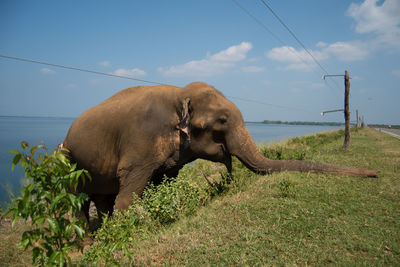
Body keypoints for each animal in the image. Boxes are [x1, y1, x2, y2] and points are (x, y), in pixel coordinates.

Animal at [63, 81, 378, 222]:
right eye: (223, 121)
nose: (376, 174)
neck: (180, 92)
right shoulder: (140, 142)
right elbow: (128, 192)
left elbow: (164, 181)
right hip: (68, 162)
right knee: (78, 204)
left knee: (101, 199)